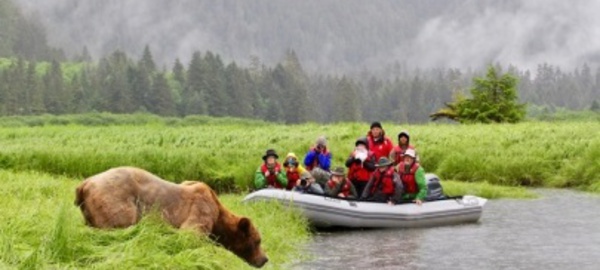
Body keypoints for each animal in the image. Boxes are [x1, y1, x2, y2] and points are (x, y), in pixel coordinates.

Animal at [75, 167, 270, 268]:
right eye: (257, 241)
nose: (265, 259)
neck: (218, 219)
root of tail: (85, 184)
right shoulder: (201, 209)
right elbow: (190, 234)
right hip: (117, 202)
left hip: (90, 214)